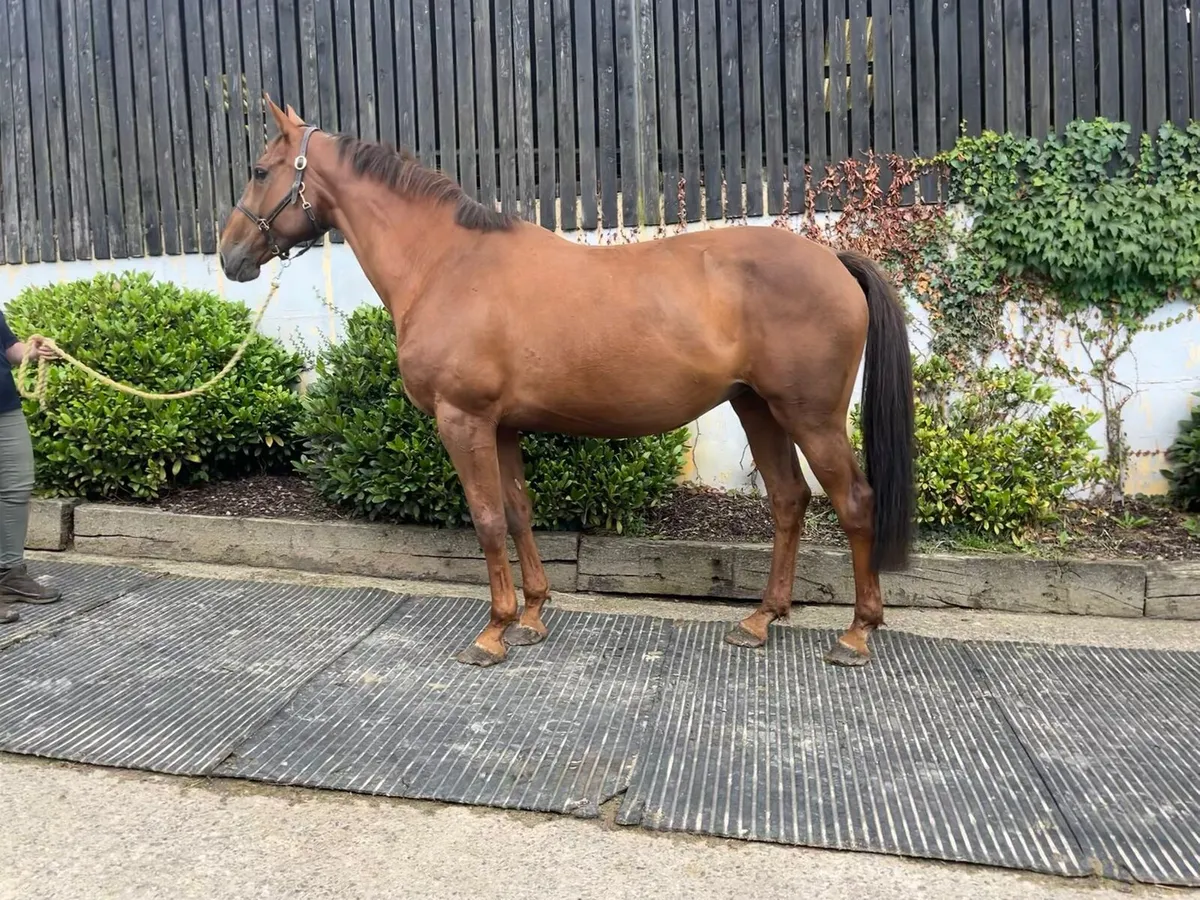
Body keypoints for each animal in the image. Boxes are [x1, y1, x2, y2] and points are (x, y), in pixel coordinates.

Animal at [219, 96, 916, 670]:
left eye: (259, 169)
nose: (229, 256)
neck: (447, 263)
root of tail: (833, 260)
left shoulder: (462, 420)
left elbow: (486, 520)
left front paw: (492, 633)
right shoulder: (500, 428)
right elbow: (519, 513)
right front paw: (530, 617)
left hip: (809, 415)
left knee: (855, 502)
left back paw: (856, 634)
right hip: (758, 408)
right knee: (788, 501)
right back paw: (760, 620)